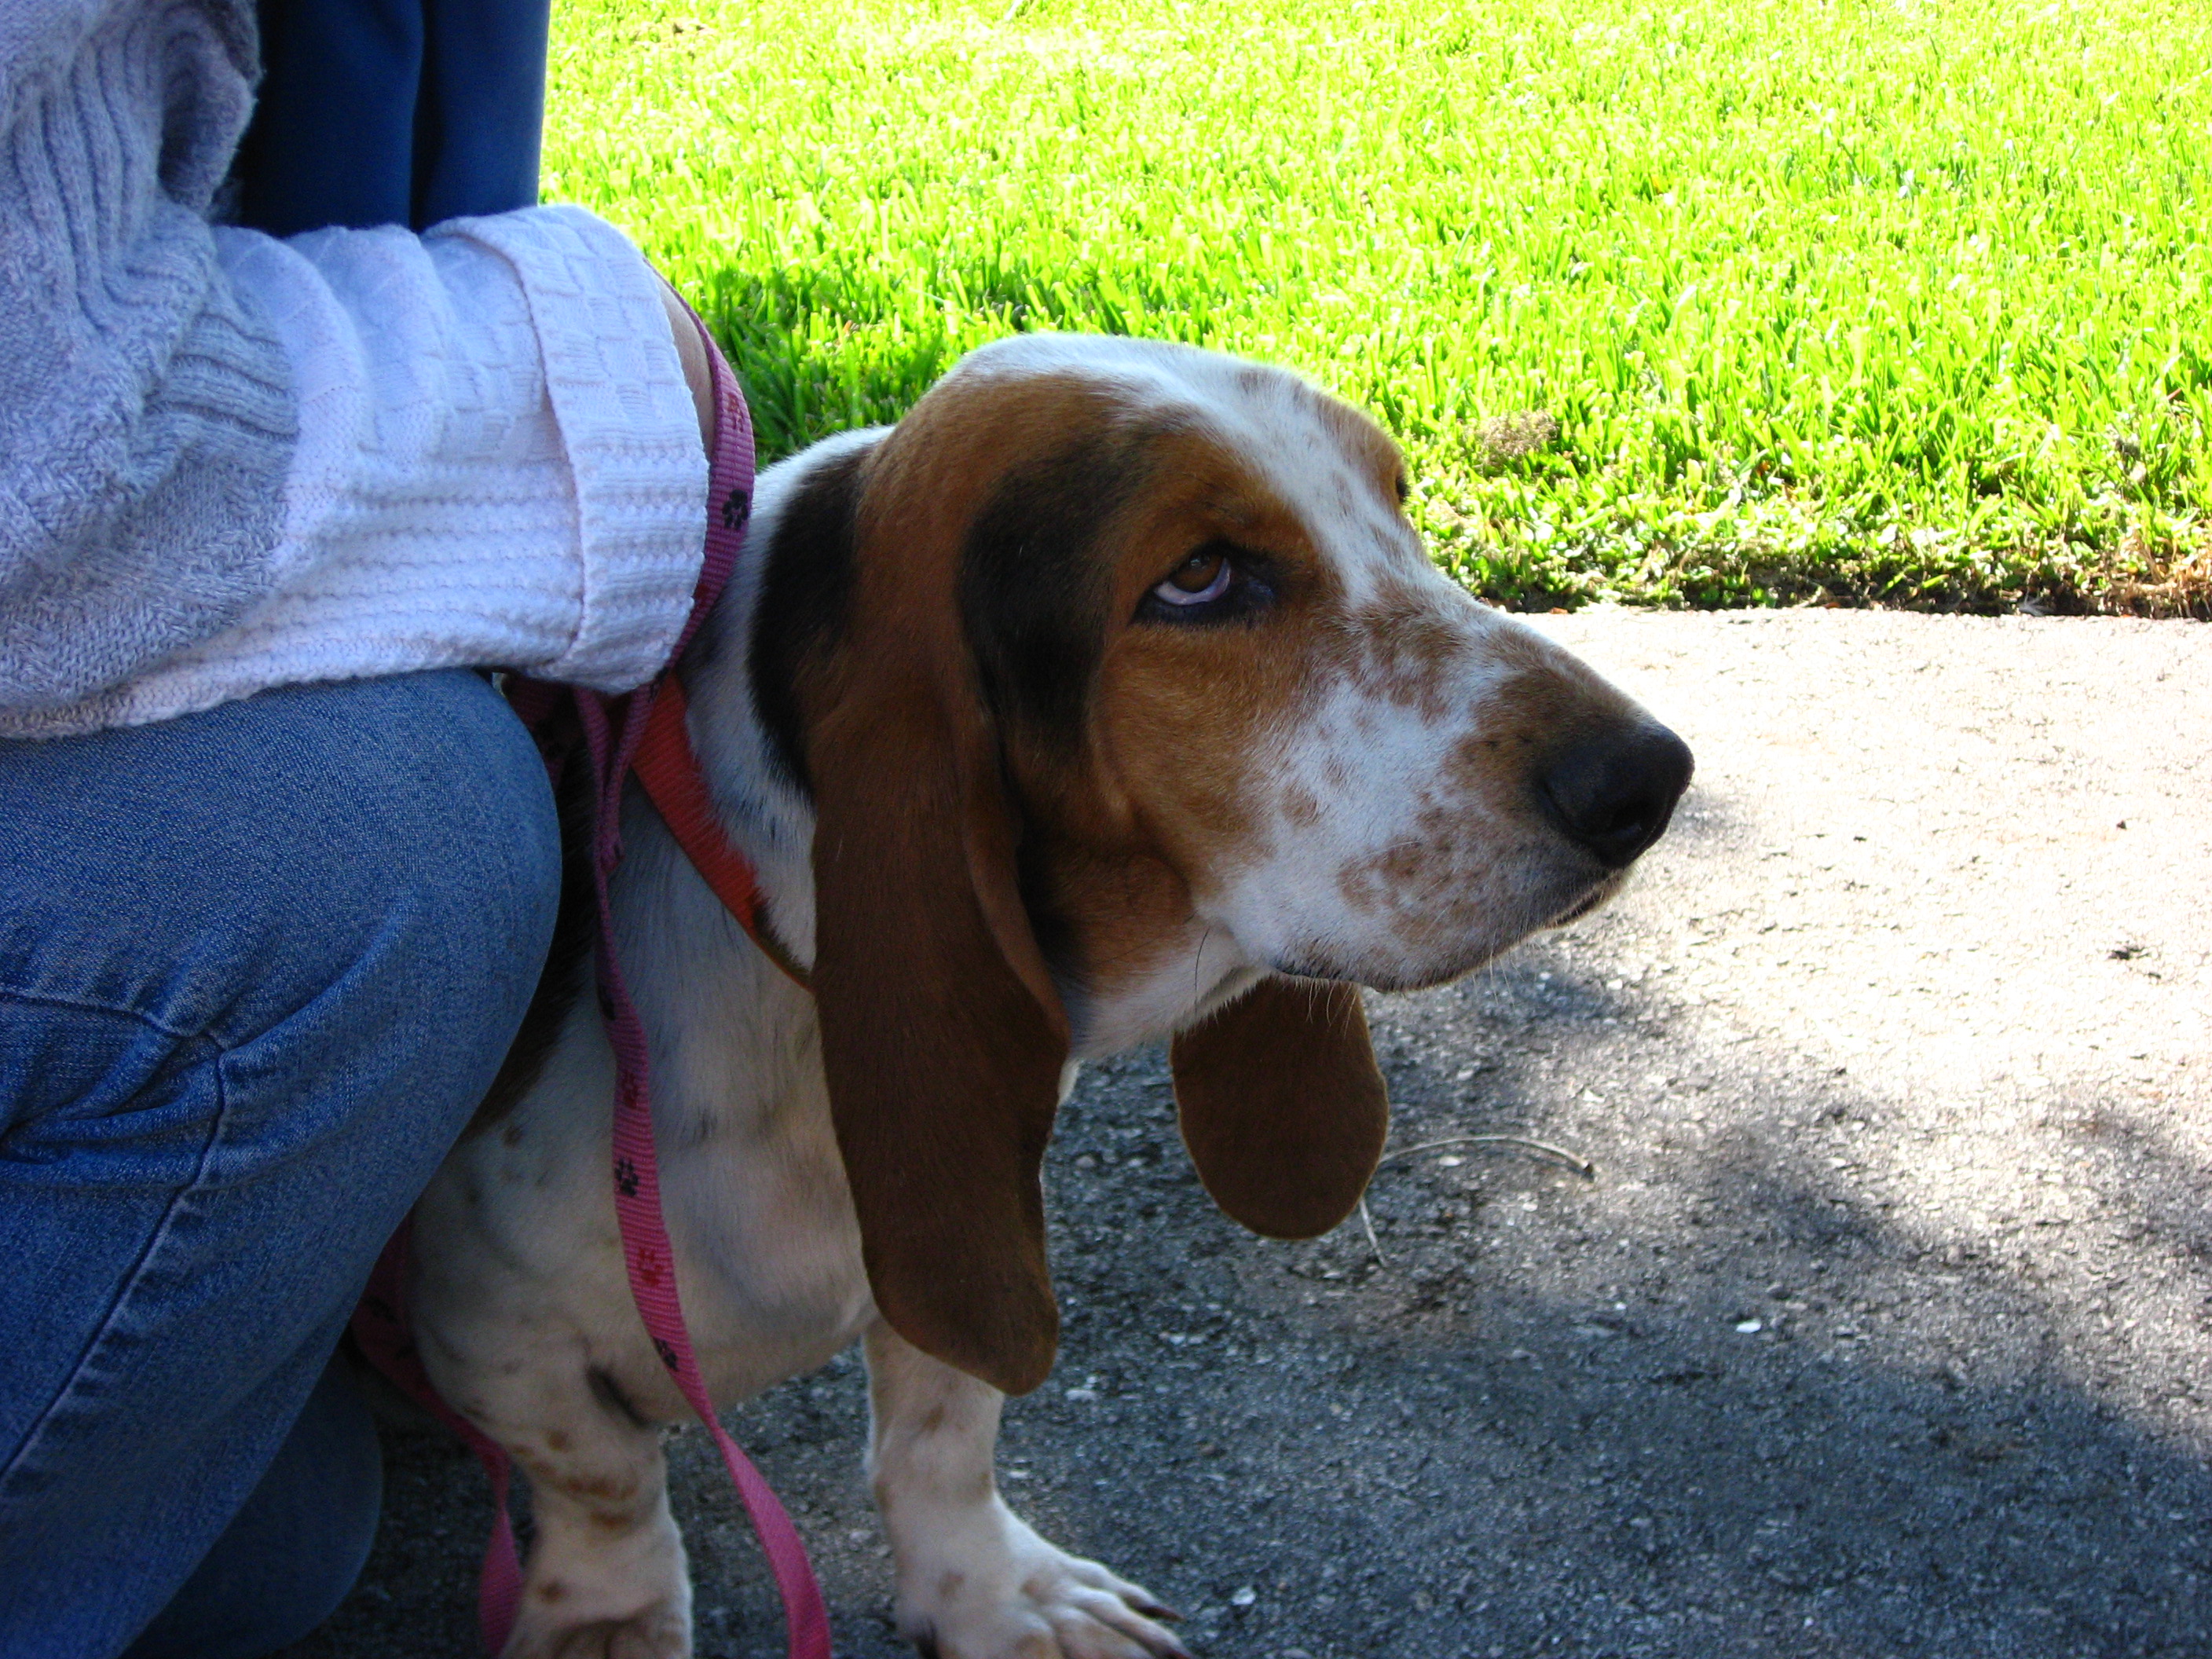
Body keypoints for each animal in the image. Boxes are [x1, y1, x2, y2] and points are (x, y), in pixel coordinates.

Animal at [408, 334, 1693, 1659]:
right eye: (1198, 578)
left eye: (1396, 501)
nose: (1648, 780)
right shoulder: (482, 1327)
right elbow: (604, 1486)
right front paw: (611, 1623)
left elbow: (942, 1435)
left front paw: (994, 1597)